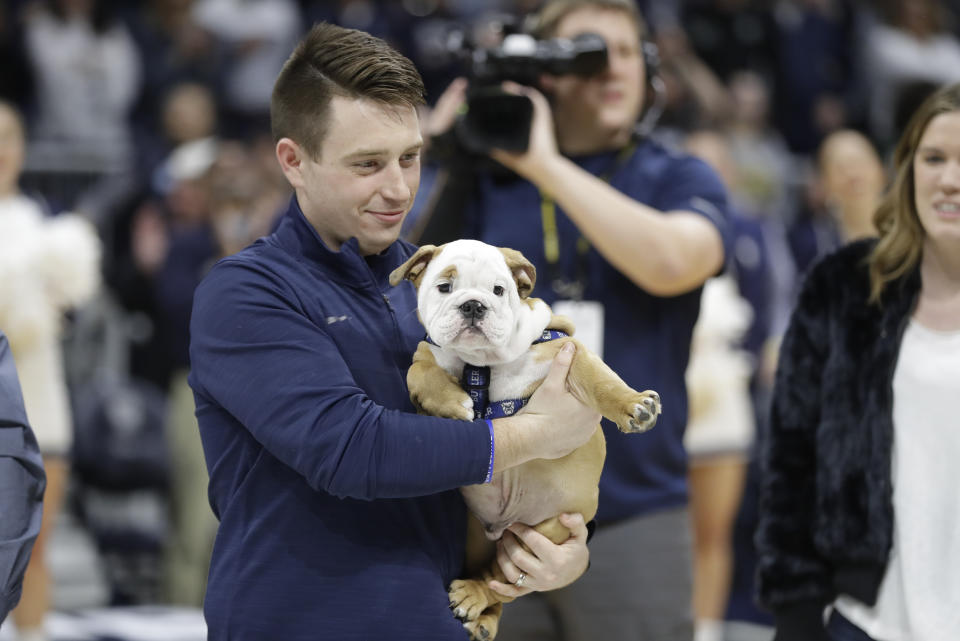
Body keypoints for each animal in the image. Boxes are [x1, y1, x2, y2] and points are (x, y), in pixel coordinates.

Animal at [390, 240, 660, 640]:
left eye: (498, 290)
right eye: (444, 287)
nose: (474, 305)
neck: (482, 364)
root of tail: (501, 528)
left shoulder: (568, 350)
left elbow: (600, 379)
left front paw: (635, 405)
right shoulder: (432, 349)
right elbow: (418, 367)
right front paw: (451, 402)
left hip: (544, 534)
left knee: (503, 581)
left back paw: (475, 601)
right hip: (475, 537)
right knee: (495, 581)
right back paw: (479, 610)